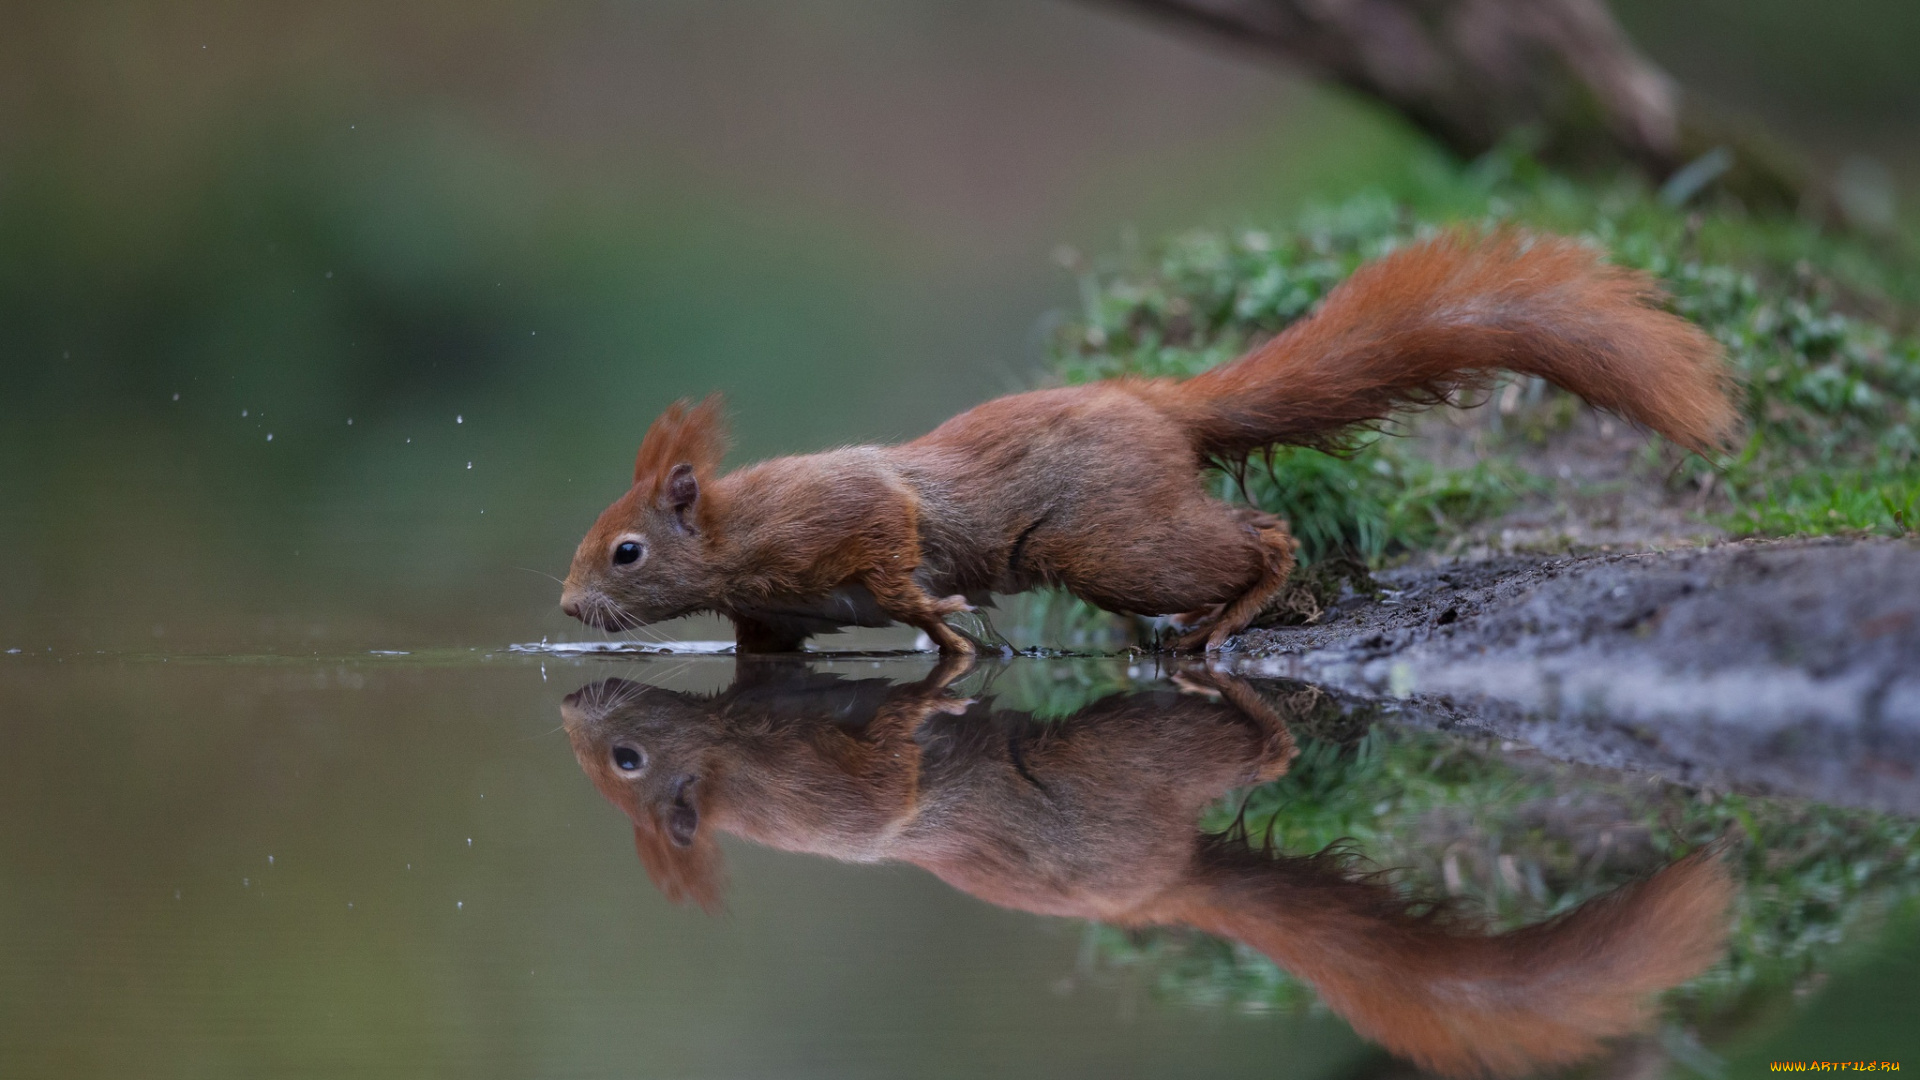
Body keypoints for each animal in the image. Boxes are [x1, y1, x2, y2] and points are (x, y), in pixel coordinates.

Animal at [560, 228, 1743, 645]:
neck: (738, 535)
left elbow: (893, 549)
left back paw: (1231, 618)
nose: (568, 608)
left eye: (627, 550)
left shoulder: (843, 514)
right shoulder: (774, 615)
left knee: (1260, 537)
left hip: (1109, 541)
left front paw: (941, 618)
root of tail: (1156, 404)